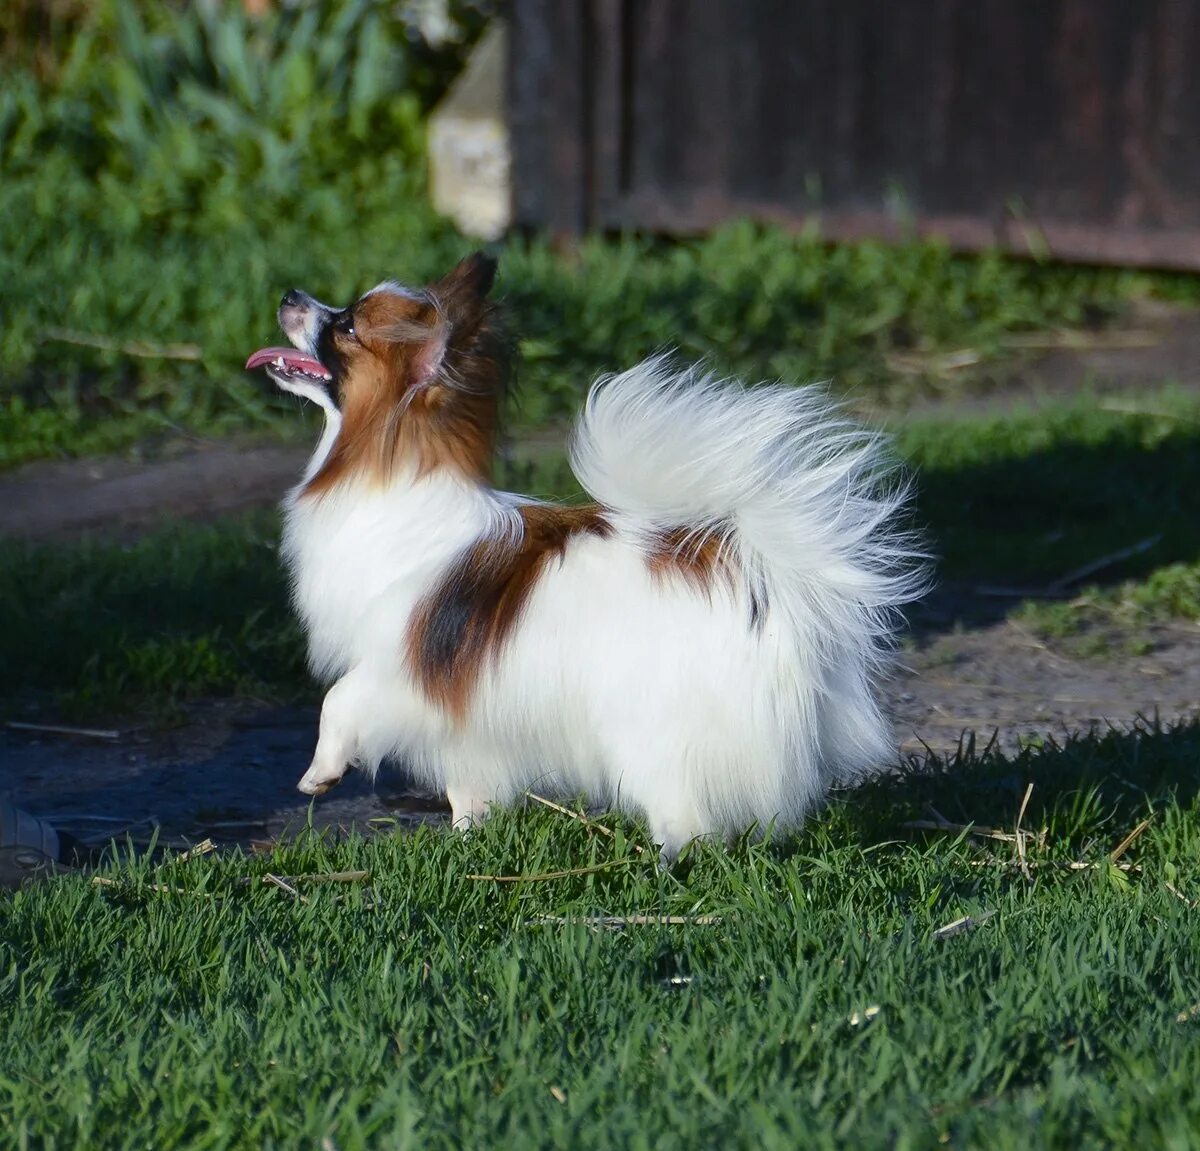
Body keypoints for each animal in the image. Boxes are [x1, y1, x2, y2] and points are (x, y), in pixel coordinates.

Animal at [241, 254, 916, 864]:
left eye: (347, 326)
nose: (289, 293)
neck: (392, 488)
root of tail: (750, 570)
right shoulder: (461, 707)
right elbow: (466, 782)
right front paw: (467, 841)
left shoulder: (401, 663)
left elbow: (338, 700)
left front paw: (320, 774)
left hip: (649, 733)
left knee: (686, 819)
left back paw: (657, 864)